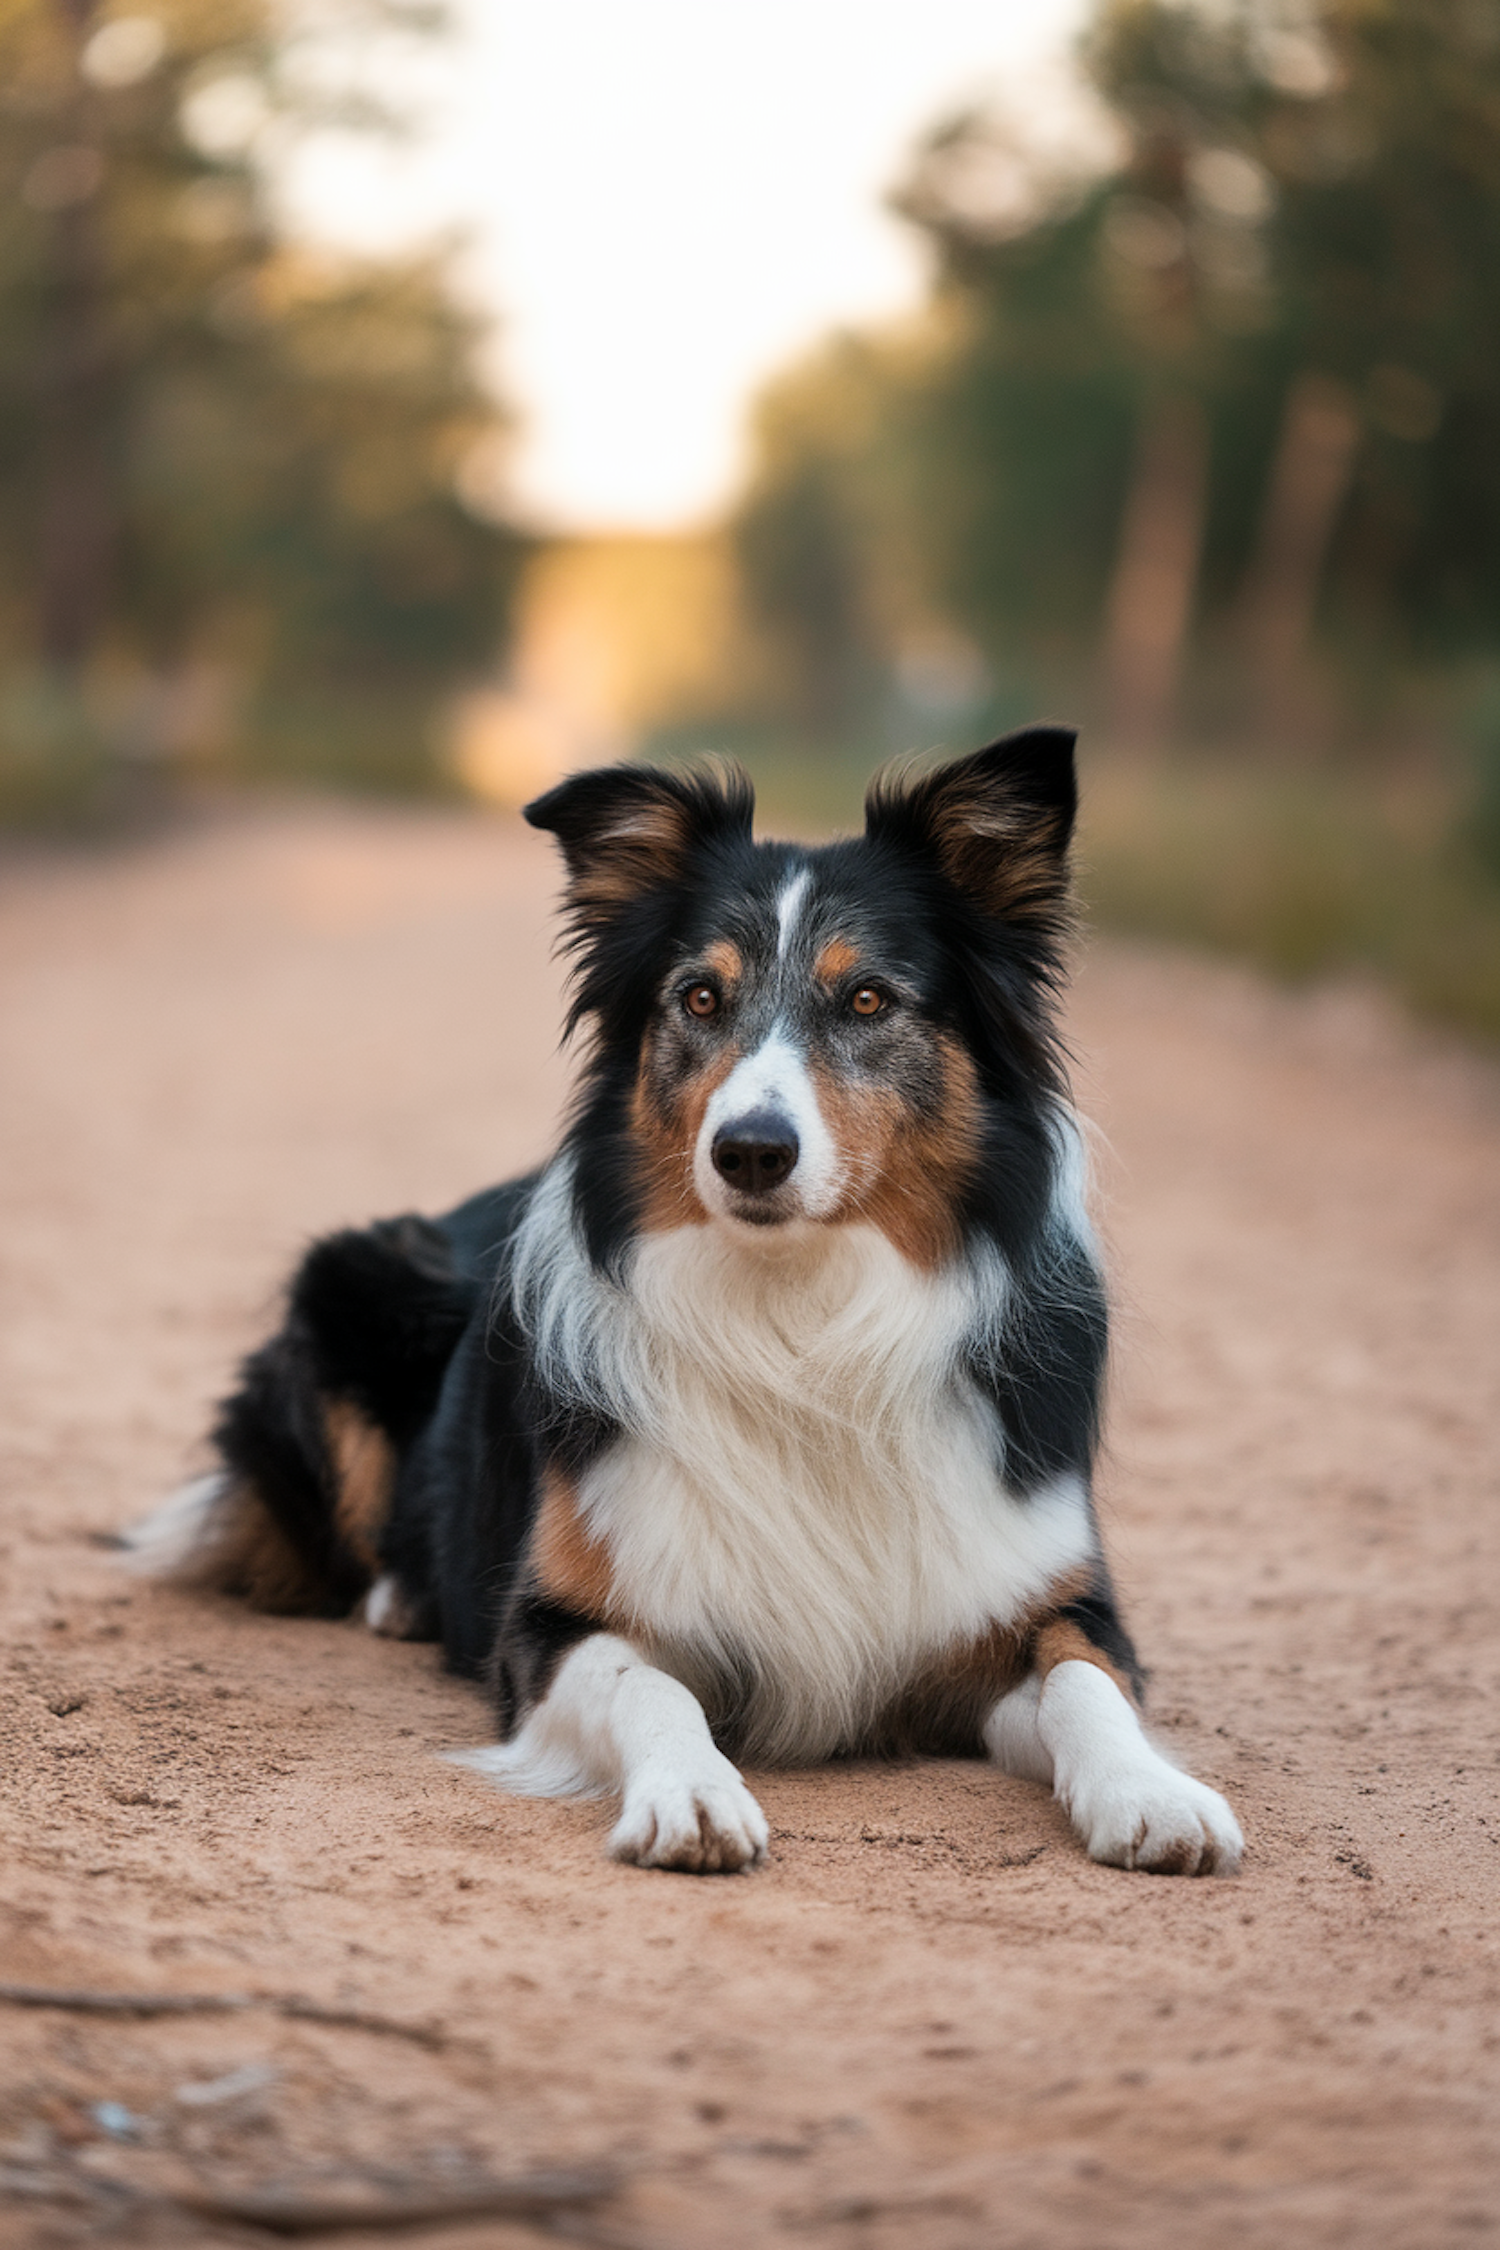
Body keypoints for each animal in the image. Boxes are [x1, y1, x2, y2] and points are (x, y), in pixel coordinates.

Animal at [132, 729, 1241, 1872]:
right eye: (701, 999)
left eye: (869, 1000)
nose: (750, 1150)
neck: (800, 1321)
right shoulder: (555, 1623)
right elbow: (653, 1687)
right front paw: (693, 1795)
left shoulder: (1045, 1597)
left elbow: (1087, 1685)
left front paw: (1152, 1793)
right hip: (356, 1281)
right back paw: (402, 1594)